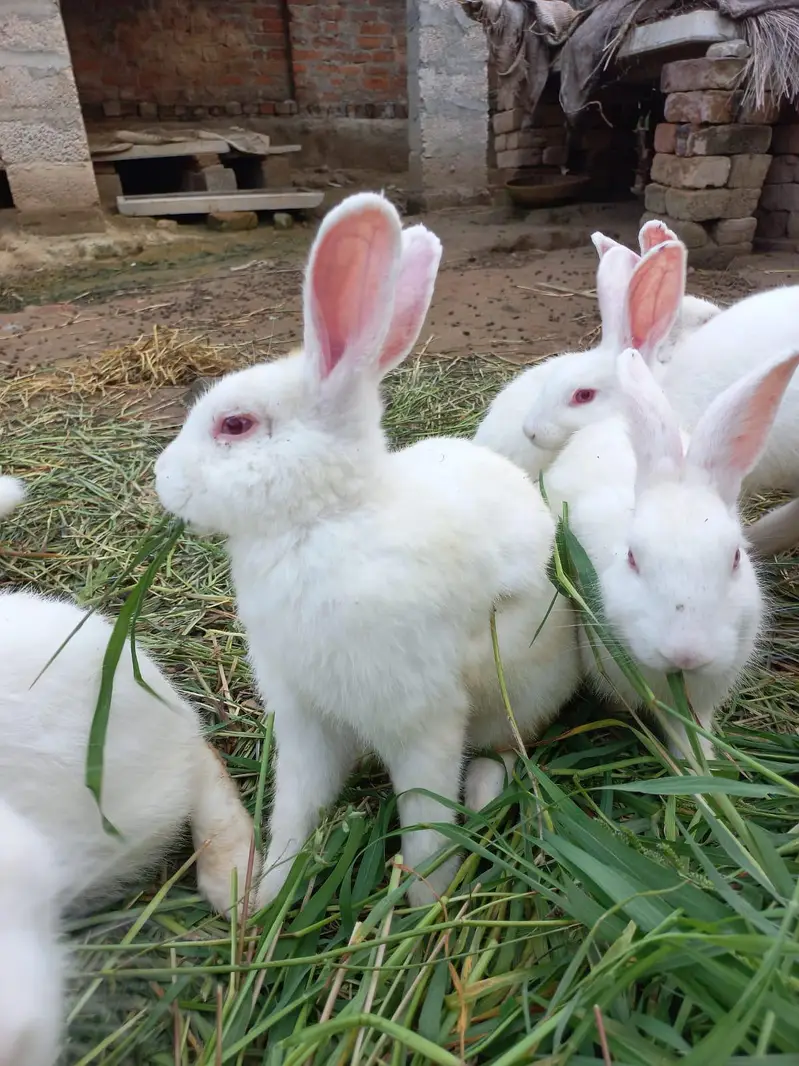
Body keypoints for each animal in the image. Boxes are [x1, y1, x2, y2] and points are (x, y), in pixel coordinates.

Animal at [154, 192, 581, 909]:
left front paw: (423, 906)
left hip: (518, 692)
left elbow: (426, 822)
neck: (324, 519)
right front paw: (271, 888)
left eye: (234, 425)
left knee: (502, 753)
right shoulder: (304, 718)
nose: (162, 478)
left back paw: (481, 797)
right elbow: (298, 808)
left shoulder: (422, 719)